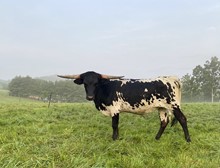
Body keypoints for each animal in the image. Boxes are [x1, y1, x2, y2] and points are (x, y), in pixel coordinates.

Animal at [58, 71, 191, 142]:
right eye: (85, 83)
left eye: (96, 83)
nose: (90, 97)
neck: (105, 88)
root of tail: (172, 78)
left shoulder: (114, 109)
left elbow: (114, 125)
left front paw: (114, 139)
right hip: (162, 108)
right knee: (164, 122)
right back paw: (156, 138)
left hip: (173, 105)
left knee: (182, 119)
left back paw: (188, 139)